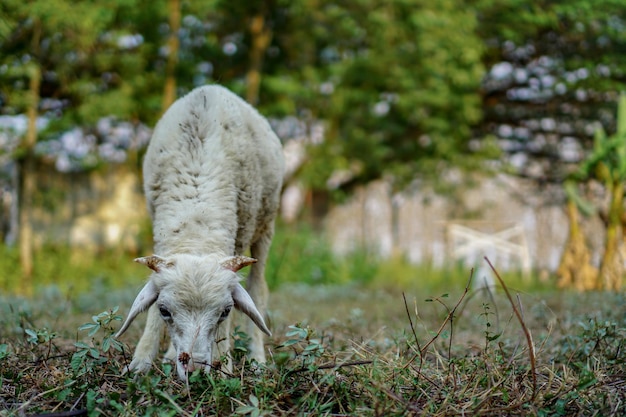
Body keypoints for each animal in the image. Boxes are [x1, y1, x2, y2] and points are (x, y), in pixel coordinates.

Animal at [114, 84, 282, 380]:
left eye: (225, 311)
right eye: (165, 310)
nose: (193, 368)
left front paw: (225, 366)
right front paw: (141, 361)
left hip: (265, 225)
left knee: (259, 288)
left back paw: (257, 358)